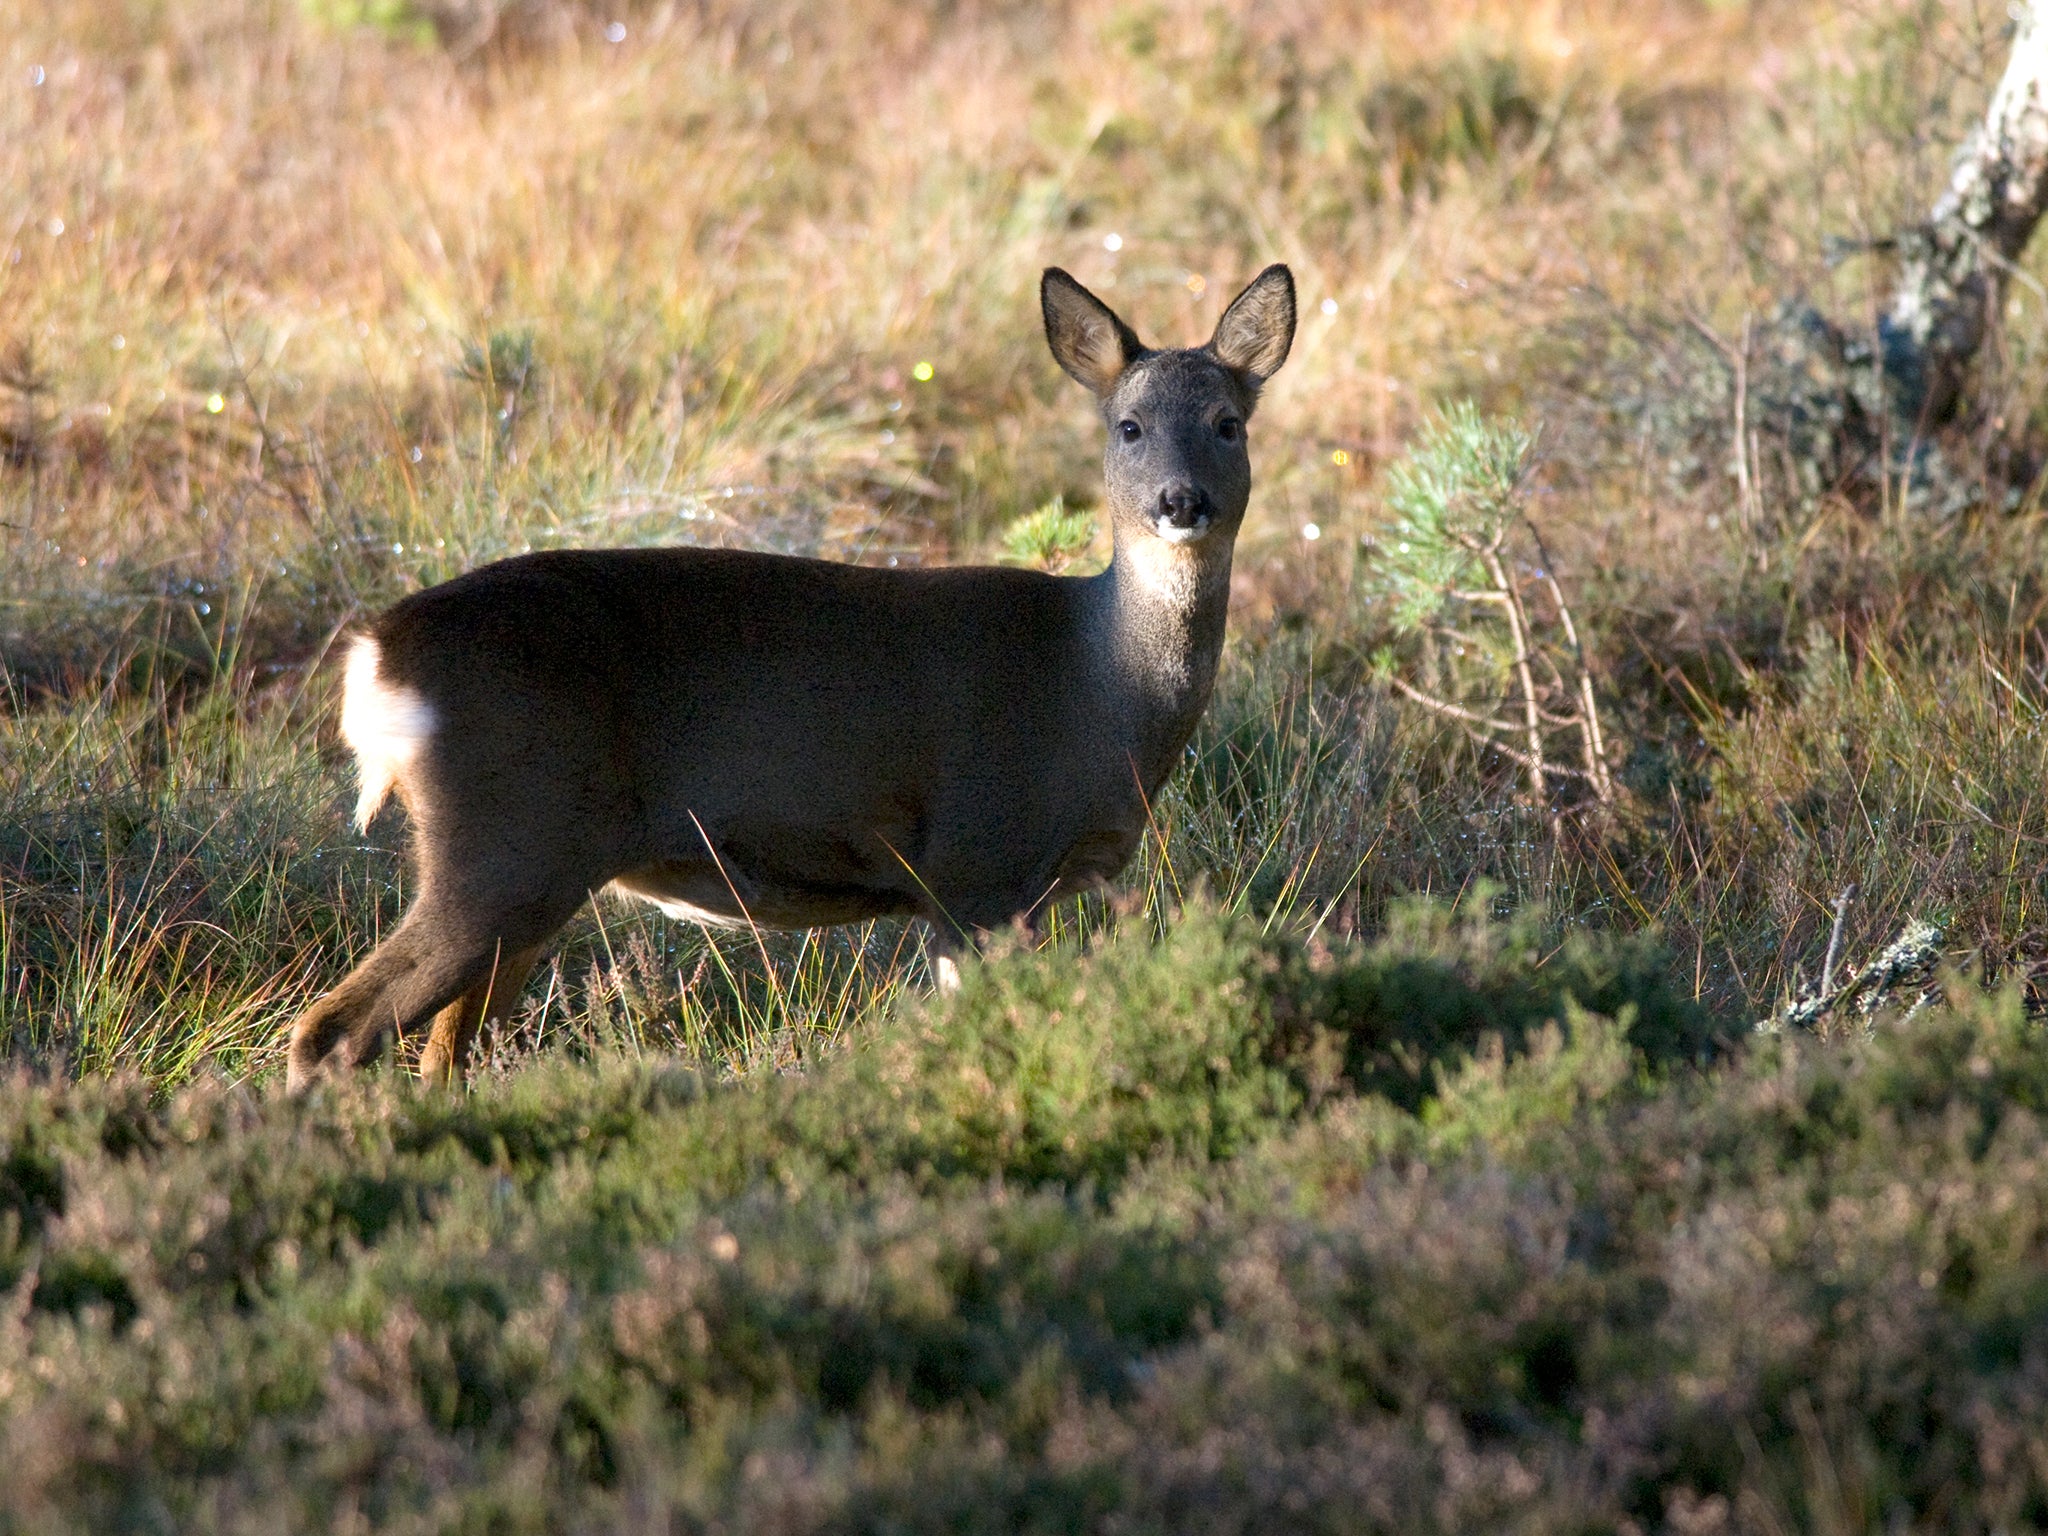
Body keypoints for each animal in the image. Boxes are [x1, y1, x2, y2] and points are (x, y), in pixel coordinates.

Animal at [284, 264, 1294, 1089]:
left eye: (1228, 423)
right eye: (1128, 426)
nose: (1181, 501)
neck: (1101, 691)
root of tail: (379, 651)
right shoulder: (980, 864)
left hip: (524, 869)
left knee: (439, 1049)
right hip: (505, 840)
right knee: (334, 1032)